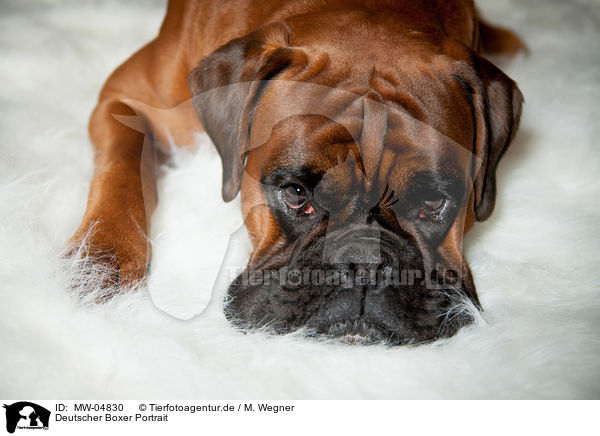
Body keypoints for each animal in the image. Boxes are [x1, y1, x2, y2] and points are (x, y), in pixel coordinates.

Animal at [69, 0, 520, 346]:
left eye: (432, 201)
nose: (364, 263)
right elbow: (123, 168)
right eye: (297, 194)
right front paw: (100, 260)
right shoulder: (123, 99)